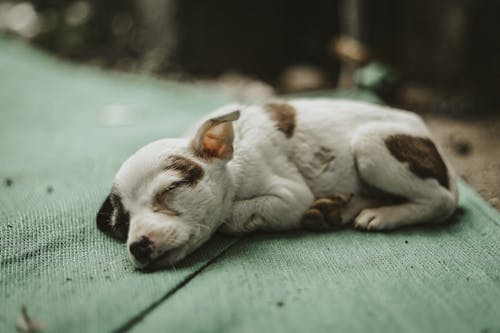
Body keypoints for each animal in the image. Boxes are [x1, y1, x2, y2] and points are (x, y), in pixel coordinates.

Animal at [94, 98, 458, 268]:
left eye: (171, 189)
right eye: (122, 224)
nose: (138, 246)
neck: (232, 163)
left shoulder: (290, 196)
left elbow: (230, 217)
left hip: (370, 145)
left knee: (441, 202)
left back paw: (382, 216)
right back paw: (338, 210)